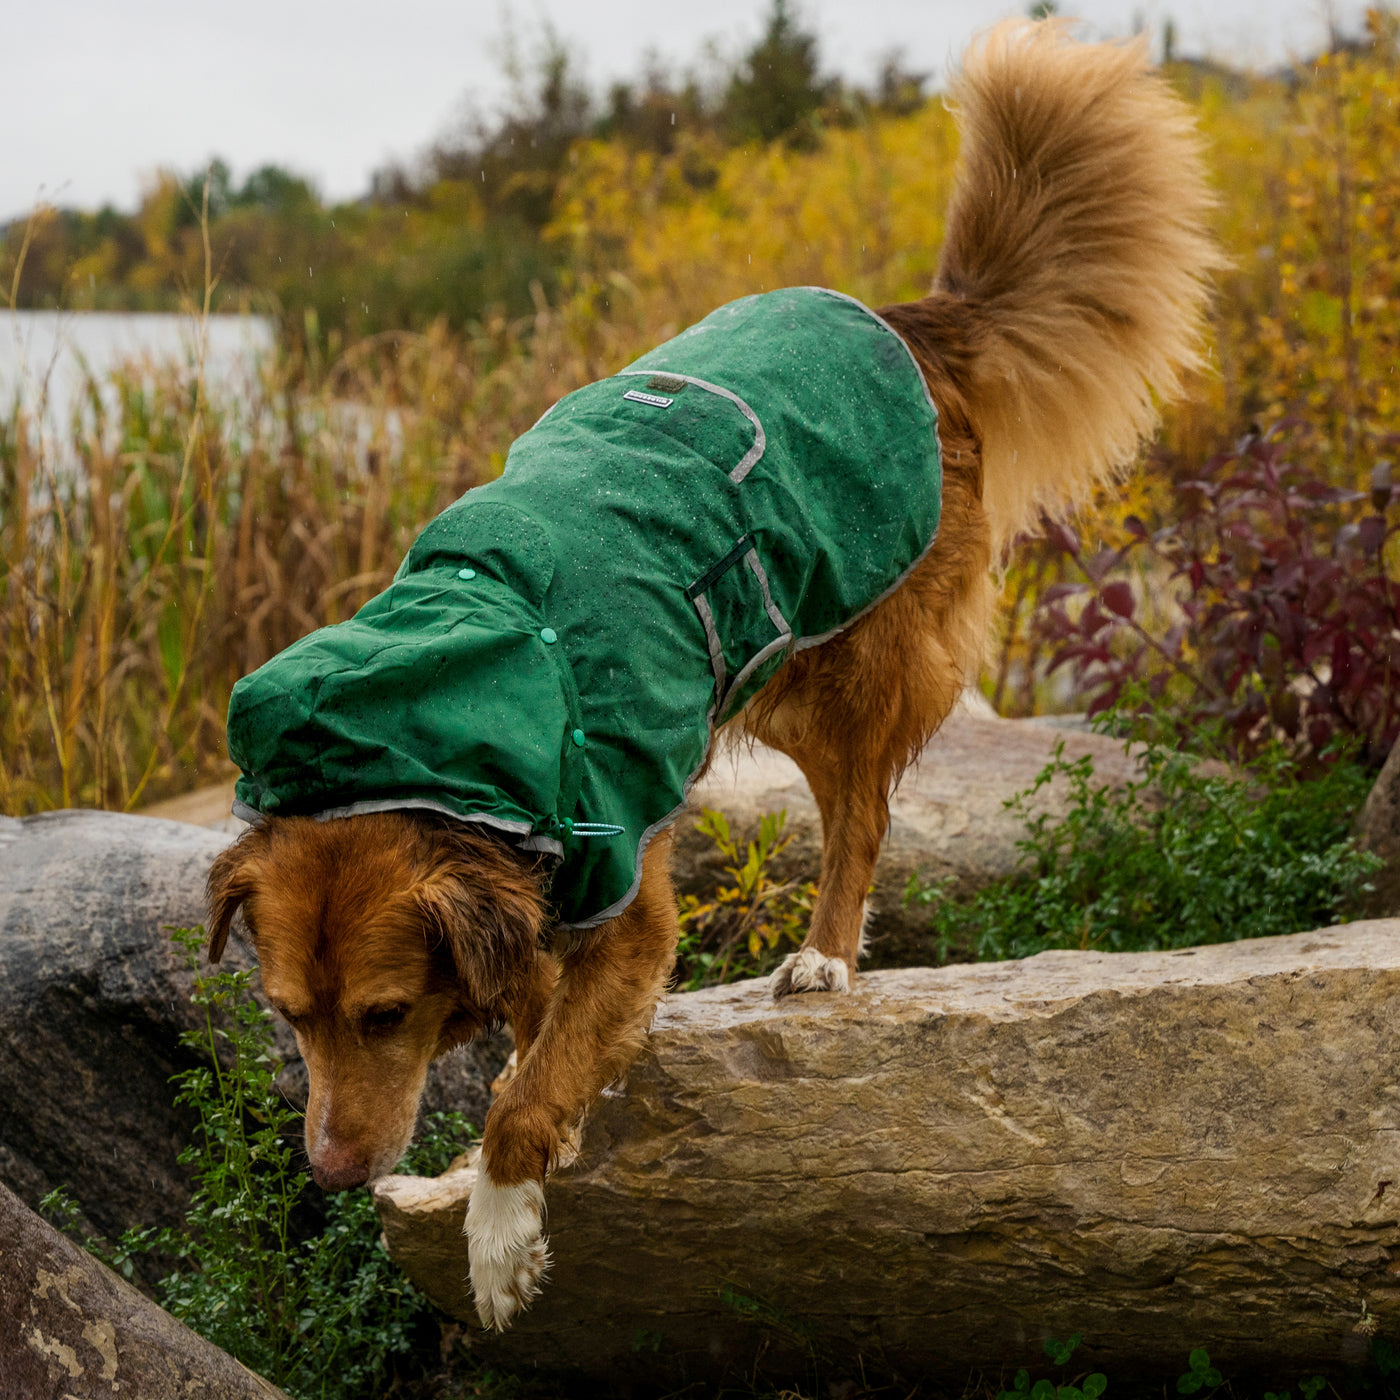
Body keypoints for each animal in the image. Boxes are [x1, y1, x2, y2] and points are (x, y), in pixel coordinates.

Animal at [203, 21, 1220, 1332]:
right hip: (767, 671)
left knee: (862, 815)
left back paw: (825, 956)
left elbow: (524, 1093)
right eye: (286, 1014)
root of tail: (915, 320)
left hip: (847, 660)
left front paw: (497, 1233)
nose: (330, 1171)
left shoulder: (625, 897)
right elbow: (537, 1020)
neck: (432, 723)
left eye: (385, 1014)